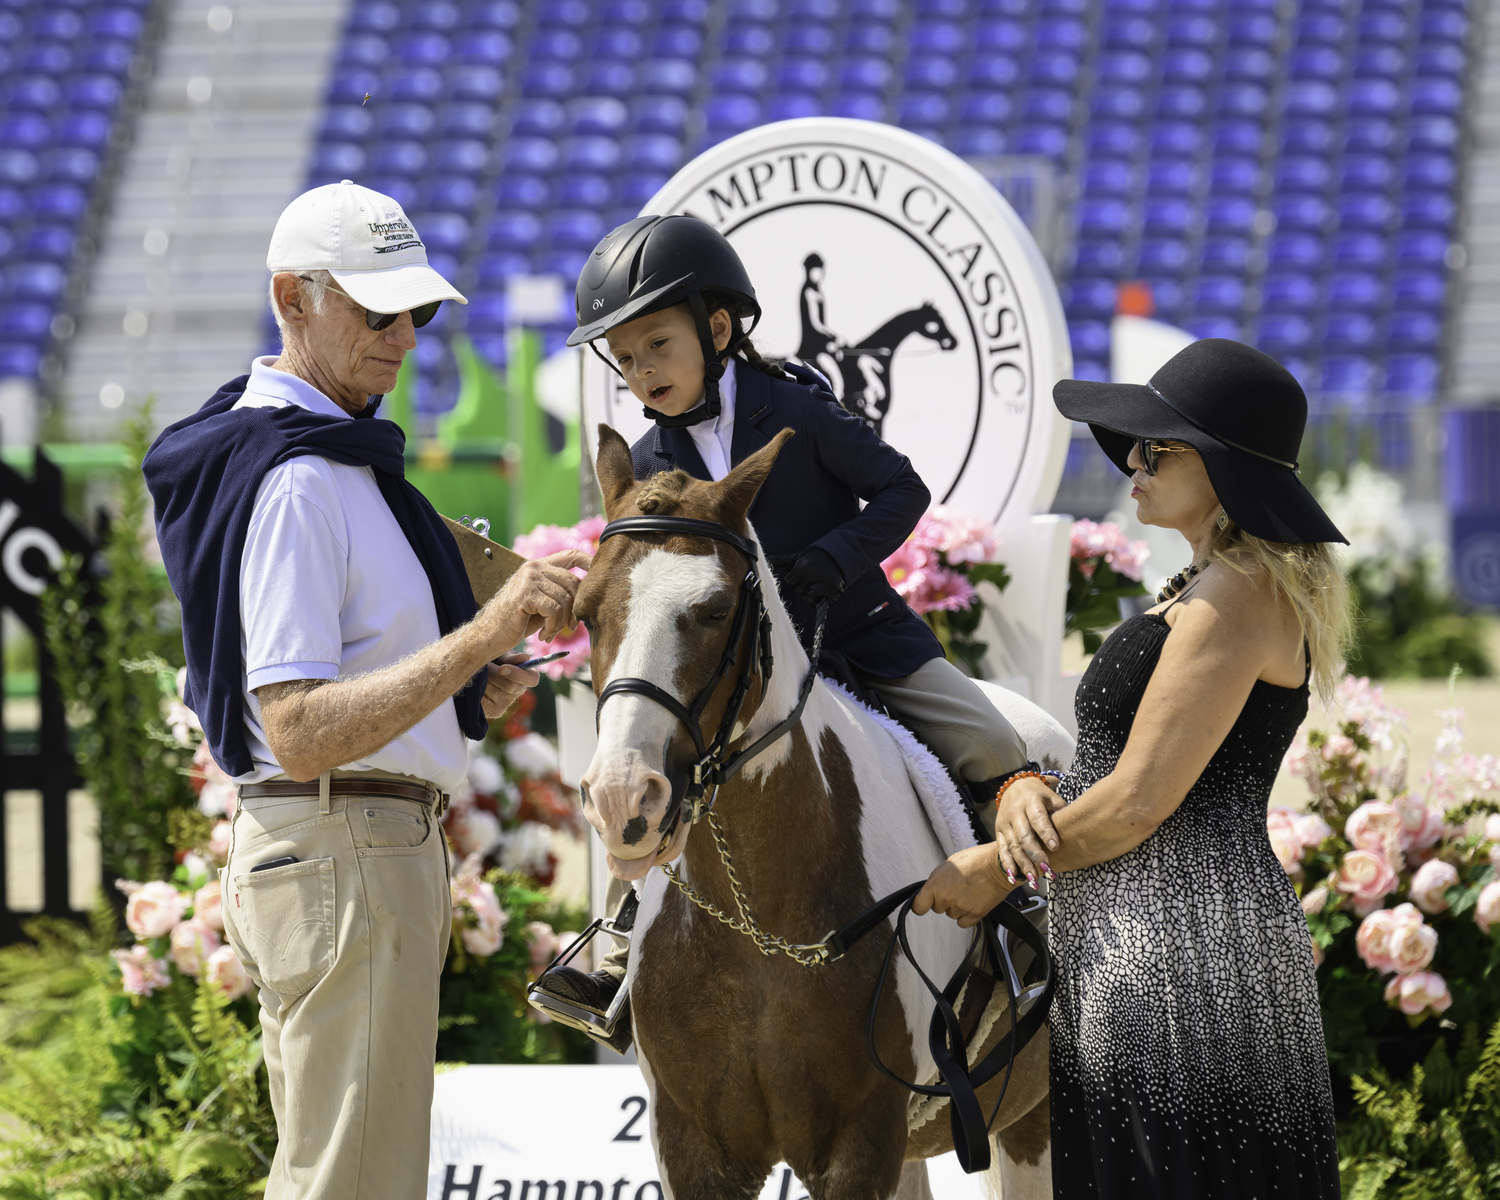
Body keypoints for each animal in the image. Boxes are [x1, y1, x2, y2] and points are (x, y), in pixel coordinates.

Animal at [570, 426, 1068, 1194]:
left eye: (714, 611)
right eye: (586, 613)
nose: (624, 796)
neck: (756, 920)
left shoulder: (859, 1146)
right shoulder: (693, 1149)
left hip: (1027, 1122)